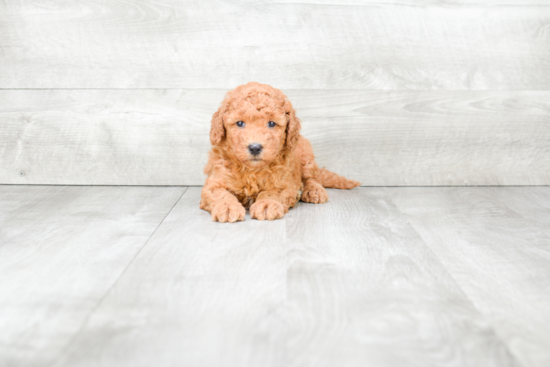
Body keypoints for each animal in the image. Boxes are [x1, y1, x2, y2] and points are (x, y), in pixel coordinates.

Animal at [201, 82, 360, 223]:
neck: (252, 170)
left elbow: (272, 191)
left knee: (312, 178)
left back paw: (314, 191)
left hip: (306, 155)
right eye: (239, 123)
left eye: (271, 123)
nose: (255, 147)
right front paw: (227, 207)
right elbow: (220, 194)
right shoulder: (214, 182)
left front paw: (266, 204)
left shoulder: (283, 183)